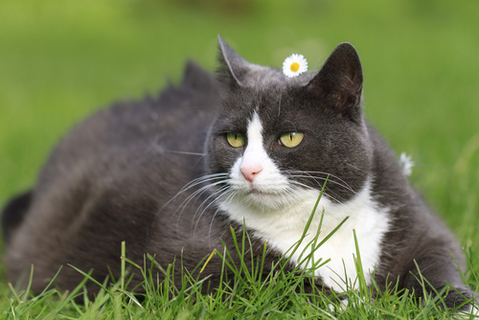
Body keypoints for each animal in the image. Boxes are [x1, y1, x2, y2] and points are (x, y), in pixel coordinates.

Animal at [1, 36, 476, 312]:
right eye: (232, 138)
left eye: (290, 137)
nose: (248, 169)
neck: (314, 221)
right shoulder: (181, 257)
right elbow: (267, 286)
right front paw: (352, 304)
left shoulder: (408, 215)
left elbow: (439, 259)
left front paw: (459, 303)